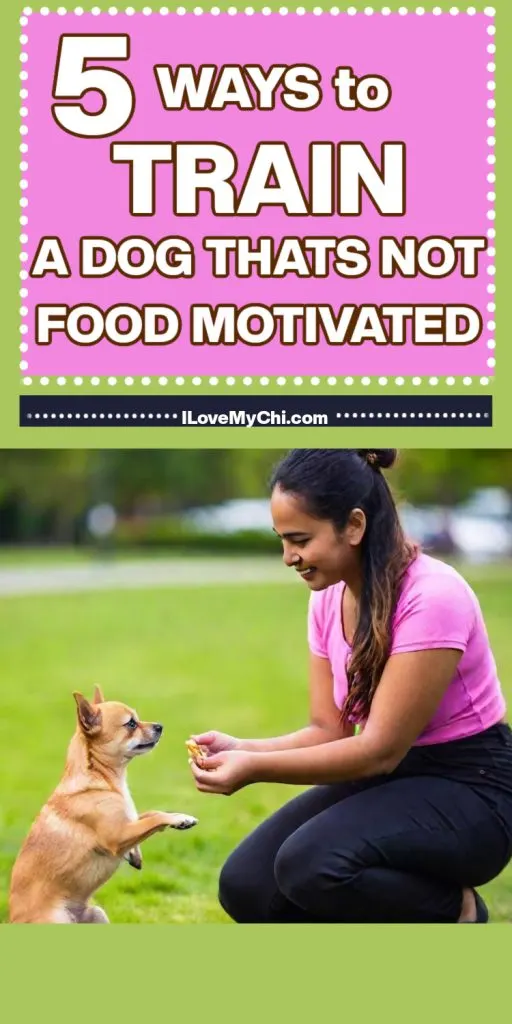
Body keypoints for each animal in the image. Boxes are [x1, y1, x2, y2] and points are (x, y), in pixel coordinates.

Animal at [10, 692, 197, 925]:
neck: (106, 779)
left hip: (97, 914)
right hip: (58, 920)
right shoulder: (118, 835)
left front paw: (135, 853)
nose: (159, 726)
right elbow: (154, 818)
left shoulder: (128, 821)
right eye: (131, 724)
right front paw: (180, 818)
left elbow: (149, 814)